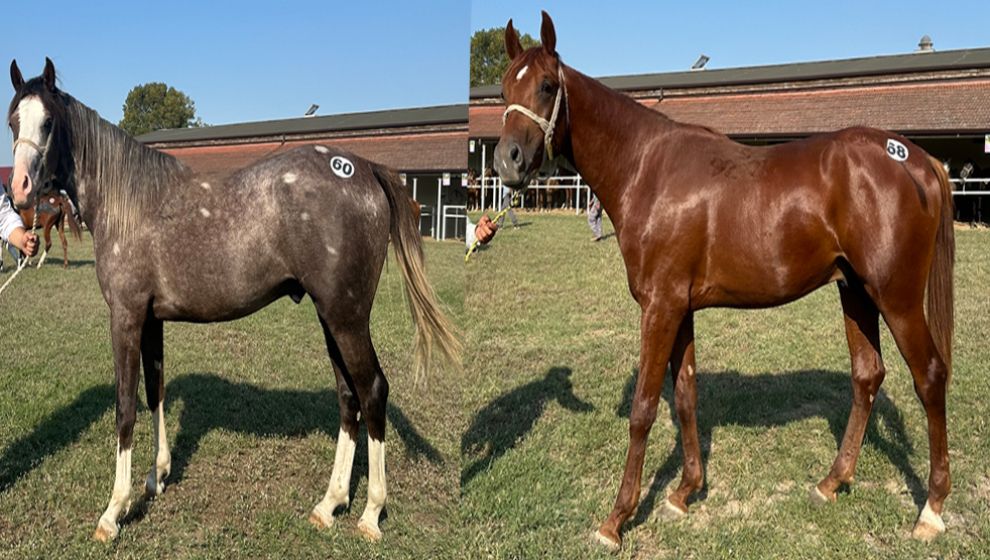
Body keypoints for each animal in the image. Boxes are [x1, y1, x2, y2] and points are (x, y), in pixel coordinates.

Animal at [7, 58, 462, 544]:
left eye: (48, 122)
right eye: (13, 121)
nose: (20, 189)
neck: (130, 204)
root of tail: (365, 167)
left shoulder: (125, 318)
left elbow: (125, 408)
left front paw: (114, 509)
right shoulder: (151, 320)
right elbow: (155, 391)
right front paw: (157, 476)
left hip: (347, 317)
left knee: (372, 390)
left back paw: (371, 513)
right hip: (332, 318)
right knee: (348, 397)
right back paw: (330, 503)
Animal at [500, 10, 956, 548]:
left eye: (547, 86)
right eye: (505, 87)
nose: (506, 160)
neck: (648, 169)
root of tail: (917, 158)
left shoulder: (660, 307)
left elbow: (643, 409)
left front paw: (617, 518)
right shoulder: (680, 307)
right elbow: (686, 396)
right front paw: (684, 492)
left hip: (897, 297)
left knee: (930, 377)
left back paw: (931, 509)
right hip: (857, 292)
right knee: (868, 375)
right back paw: (831, 482)